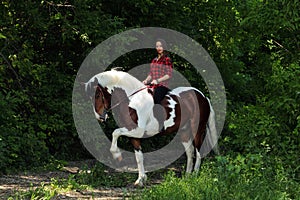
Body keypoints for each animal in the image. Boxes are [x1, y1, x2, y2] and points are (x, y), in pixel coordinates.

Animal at [85, 69, 219, 187]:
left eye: (97, 95)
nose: (100, 117)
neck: (132, 100)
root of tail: (203, 97)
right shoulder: (133, 135)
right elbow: (139, 157)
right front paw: (140, 180)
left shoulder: (137, 131)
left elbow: (115, 132)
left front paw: (116, 155)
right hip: (184, 131)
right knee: (190, 152)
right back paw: (187, 176)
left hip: (198, 129)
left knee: (198, 152)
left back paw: (195, 175)